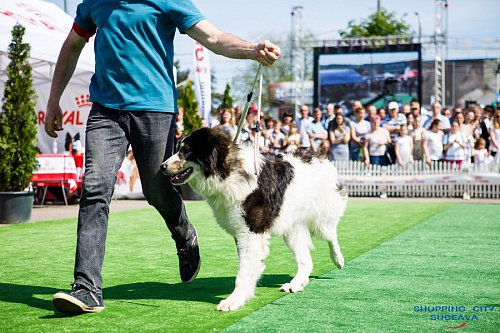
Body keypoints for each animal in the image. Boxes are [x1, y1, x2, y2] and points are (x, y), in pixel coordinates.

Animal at [161, 127, 348, 312]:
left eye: (186, 151)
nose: (162, 166)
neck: (228, 171)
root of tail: (320, 156)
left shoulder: (250, 232)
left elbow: (243, 270)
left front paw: (234, 300)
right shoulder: (241, 231)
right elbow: (249, 266)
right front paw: (244, 295)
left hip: (321, 220)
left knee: (331, 235)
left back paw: (338, 259)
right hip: (292, 228)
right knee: (305, 260)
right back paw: (296, 284)